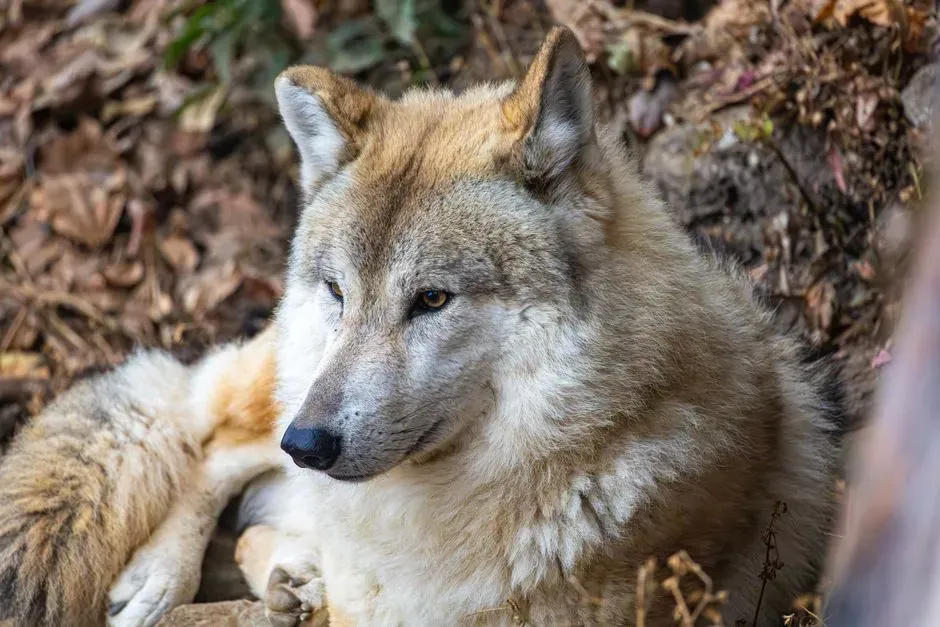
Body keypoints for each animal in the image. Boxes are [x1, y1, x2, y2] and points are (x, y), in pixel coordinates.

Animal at [0, 26, 843, 626]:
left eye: (432, 299)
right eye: (339, 292)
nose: (309, 444)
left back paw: (288, 576)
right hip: (280, 391)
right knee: (211, 440)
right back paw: (168, 576)